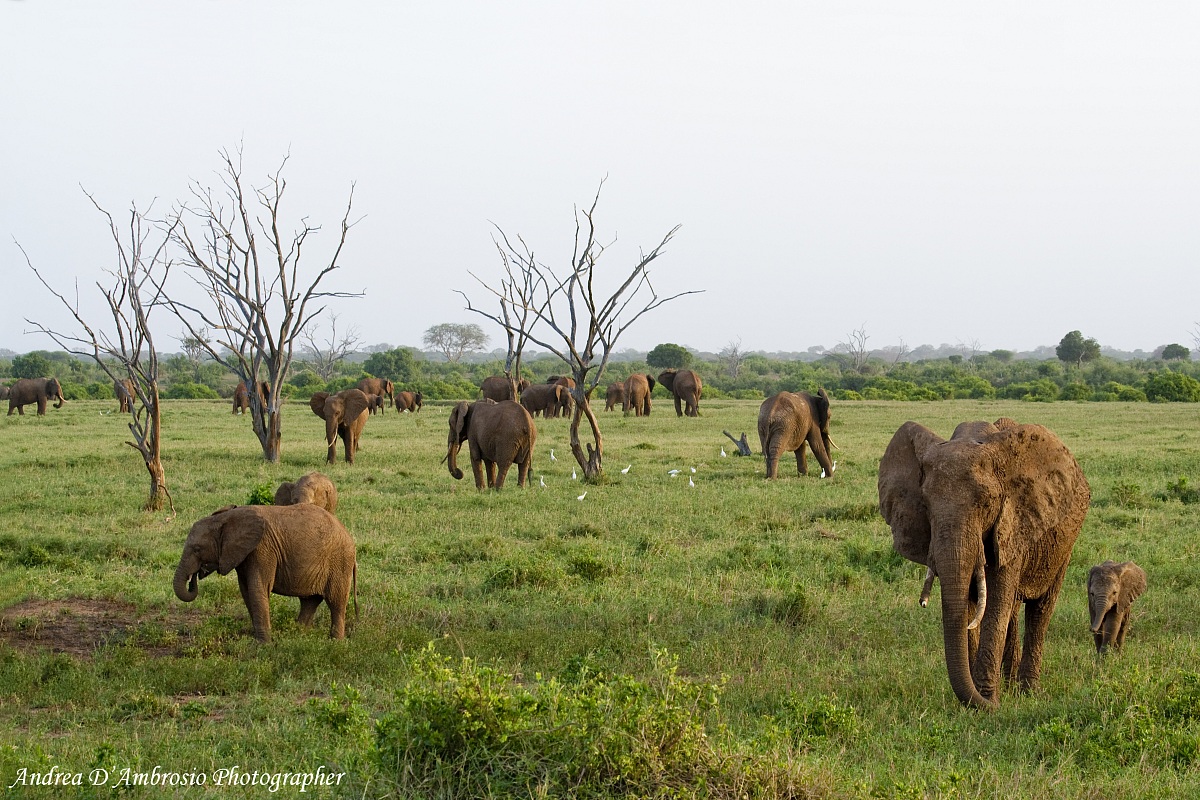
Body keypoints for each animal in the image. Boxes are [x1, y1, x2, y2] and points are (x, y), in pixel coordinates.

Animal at [173, 503, 356, 642]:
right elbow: (246, 591)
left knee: (336, 601)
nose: (195, 575)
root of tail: (348, 534)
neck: (227, 518)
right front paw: (257, 638)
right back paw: (297, 634)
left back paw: (335, 641)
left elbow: (257, 589)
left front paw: (262, 644)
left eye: (197, 549)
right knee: (309, 601)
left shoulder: (262, 549)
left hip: (340, 561)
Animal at [878, 418, 1091, 709]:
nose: (922, 602)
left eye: (987, 503)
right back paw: (1010, 685)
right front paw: (979, 701)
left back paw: (1027, 691)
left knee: (1040, 608)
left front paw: (987, 702)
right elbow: (970, 602)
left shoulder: (1014, 522)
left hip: (1066, 541)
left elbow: (996, 604)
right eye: (926, 504)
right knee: (1014, 609)